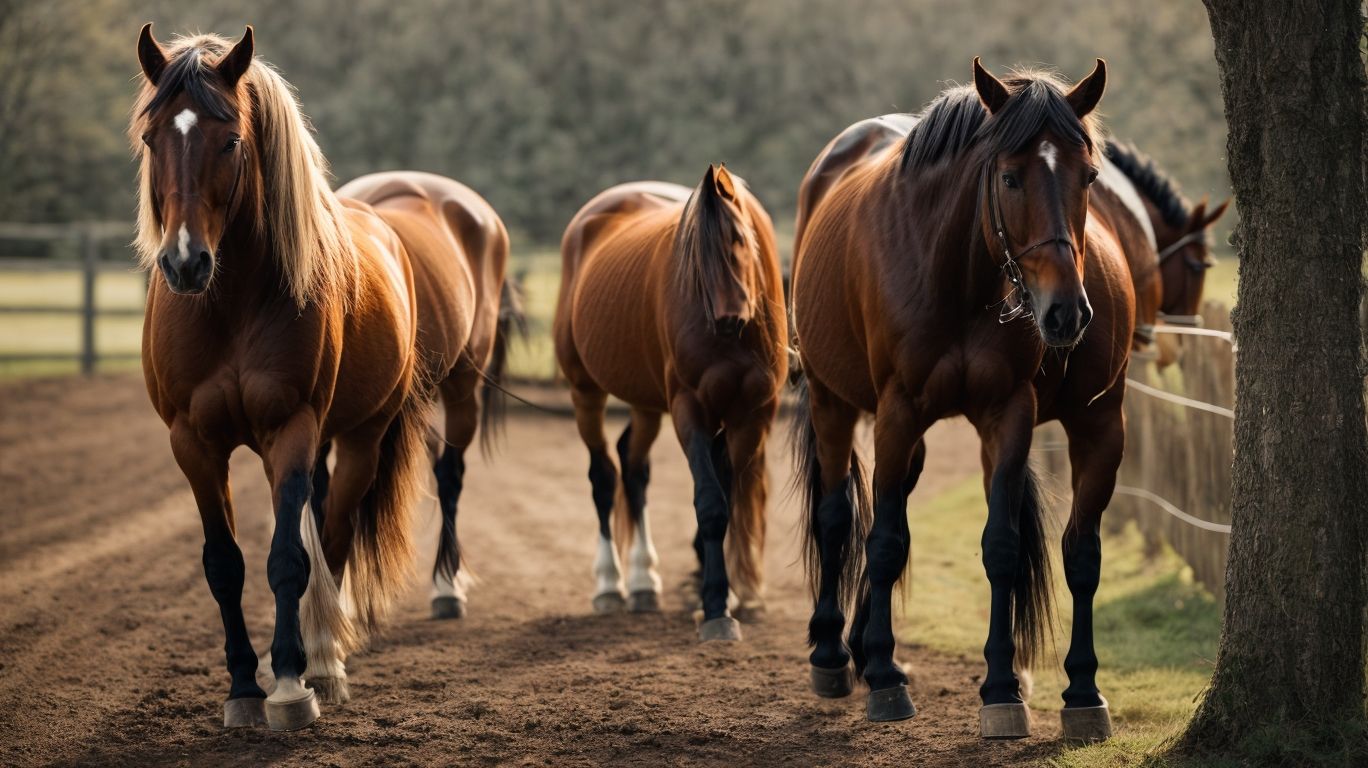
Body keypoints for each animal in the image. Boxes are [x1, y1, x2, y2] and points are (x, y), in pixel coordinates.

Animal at [132, 25, 505, 730]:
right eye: (151, 139)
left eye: (231, 141)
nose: (186, 263)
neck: (231, 306)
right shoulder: (192, 442)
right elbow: (223, 564)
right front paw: (243, 688)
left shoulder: (292, 430)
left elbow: (289, 558)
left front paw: (289, 683)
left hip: (380, 429)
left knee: (349, 527)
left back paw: (329, 656)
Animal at [554, 166, 787, 641]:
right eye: (693, 258)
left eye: (739, 238)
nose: (727, 318)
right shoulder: (690, 410)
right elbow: (711, 505)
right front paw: (716, 608)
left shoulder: (749, 416)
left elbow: (731, 499)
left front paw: (730, 595)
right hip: (585, 393)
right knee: (603, 476)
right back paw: (610, 586)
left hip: (645, 405)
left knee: (633, 466)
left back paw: (644, 582)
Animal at [790, 59, 1134, 742]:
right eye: (1009, 177)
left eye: (1089, 176)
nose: (1066, 312)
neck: (955, 272)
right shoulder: (897, 411)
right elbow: (885, 541)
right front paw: (887, 680)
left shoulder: (1020, 416)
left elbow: (1019, 547)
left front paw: (1026, 690)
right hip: (832, 401)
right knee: (838, 514)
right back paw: (834, 654)